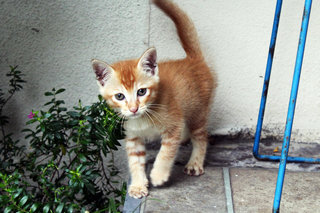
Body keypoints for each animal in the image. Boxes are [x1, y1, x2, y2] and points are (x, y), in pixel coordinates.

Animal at [92, 0, 218, 198]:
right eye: (119, 96)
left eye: (141, 92)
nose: (133, 109)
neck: (143, 117)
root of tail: (192, 59)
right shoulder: (133, 136)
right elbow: (135, 162)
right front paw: (138, 185)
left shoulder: (172, 124)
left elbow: (166, 153)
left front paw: (158, 175)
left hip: (198, 111)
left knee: (201, 136)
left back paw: (195, 163)